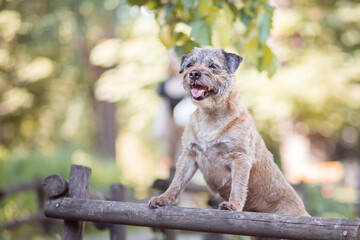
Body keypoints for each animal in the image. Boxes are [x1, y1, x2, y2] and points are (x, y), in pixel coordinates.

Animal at [148, 47, 308, 234]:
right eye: (190, 65)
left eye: (213, 66)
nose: (194, 73)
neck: (210, 116)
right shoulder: (189, 155)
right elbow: (176, 181)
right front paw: (163, 198)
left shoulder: (240, 157)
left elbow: (238, 185)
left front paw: (233, 205)